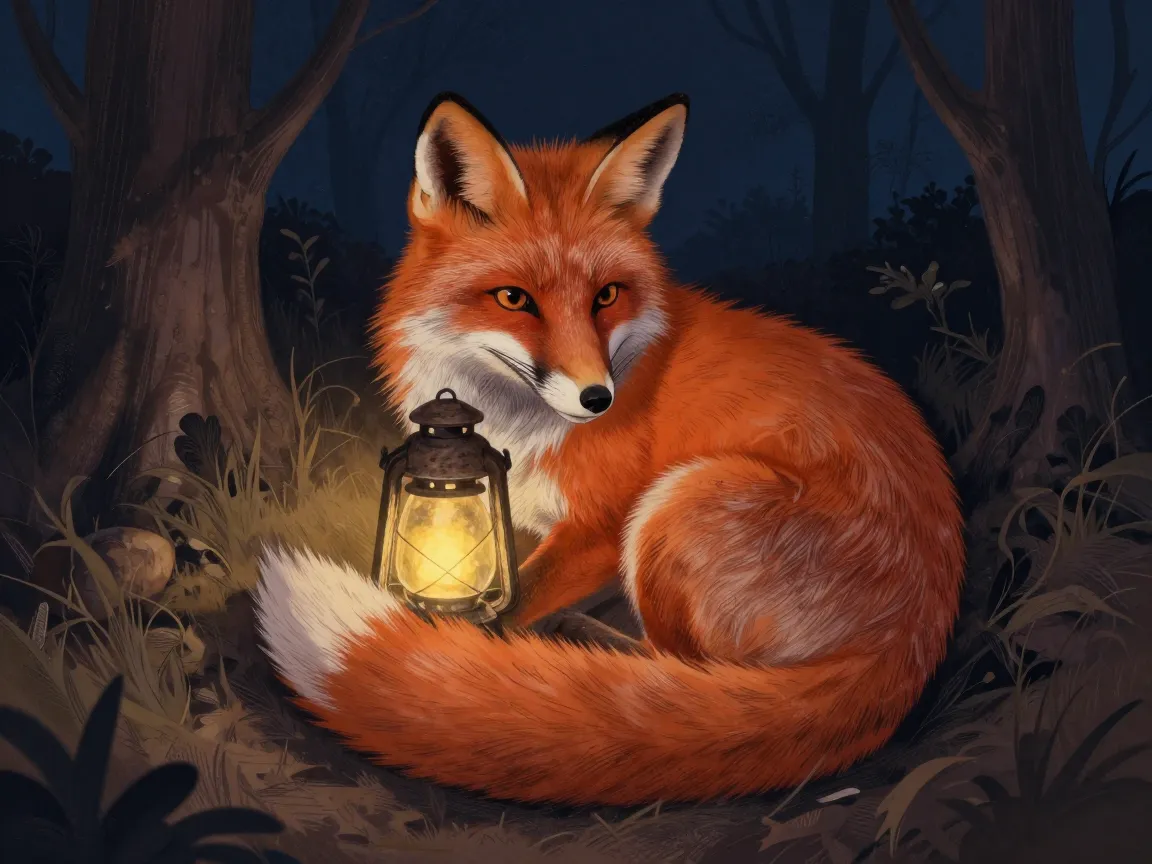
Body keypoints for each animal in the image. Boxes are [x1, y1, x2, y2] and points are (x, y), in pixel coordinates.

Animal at [253, 92, 966, 806]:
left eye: (606, 296)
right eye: (513, 298)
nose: (599, 398)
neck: (517, 422)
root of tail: (916, 637)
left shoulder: (600, 526)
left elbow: (511, 608)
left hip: (675, 506)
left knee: (686, 673)